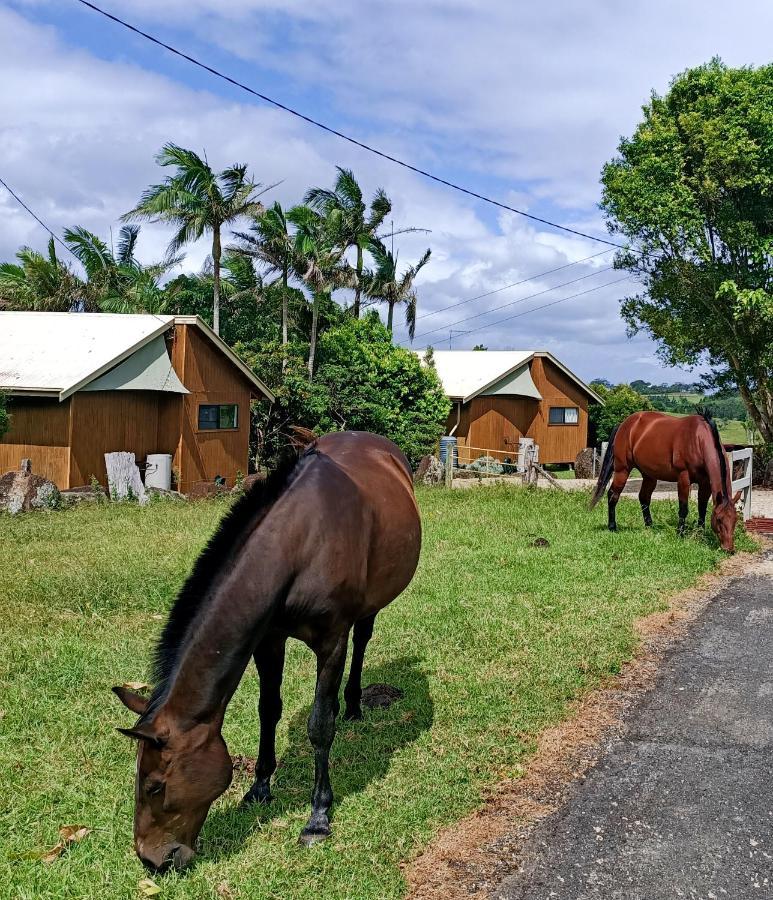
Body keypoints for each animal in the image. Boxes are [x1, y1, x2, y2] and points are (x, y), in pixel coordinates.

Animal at [111, 434, 420, 872]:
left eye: (154, 786)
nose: (152, 860)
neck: (300, 543)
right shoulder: (268, 639)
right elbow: (268, 709)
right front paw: (259, 787)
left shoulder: (331, 642)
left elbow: (319, 726)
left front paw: (317, 817)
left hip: (367, 611)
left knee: (362, 640)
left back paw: (353, 704)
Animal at [592, 412, 740, 552]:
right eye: (719, 519)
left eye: (735, 519)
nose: (729, 548)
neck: (698, 439)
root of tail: (624, 424)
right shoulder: (683, 478)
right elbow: (683, 508)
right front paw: (680, 534)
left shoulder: (705, 483)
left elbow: (702, 508)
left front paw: (700, 533)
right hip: (622, 470)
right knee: (613, 495)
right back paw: (612, 527)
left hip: (649, 475)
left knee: (644, 498)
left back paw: (650, 526)